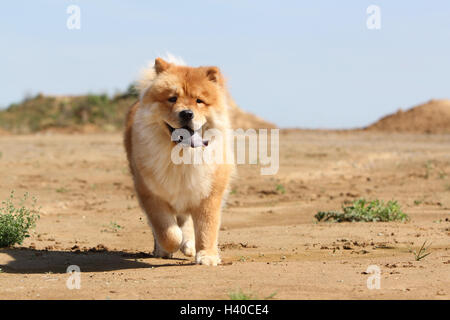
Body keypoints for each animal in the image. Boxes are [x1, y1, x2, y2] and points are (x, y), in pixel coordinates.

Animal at [125, 55, 234, 264]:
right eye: (172, 99)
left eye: (199, 101)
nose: (186, 113)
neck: (182, 155)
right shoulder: (151, 193)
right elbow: (167, 231)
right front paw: (169, 247)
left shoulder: (209, 192)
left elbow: (207, 227)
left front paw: (207, 256)